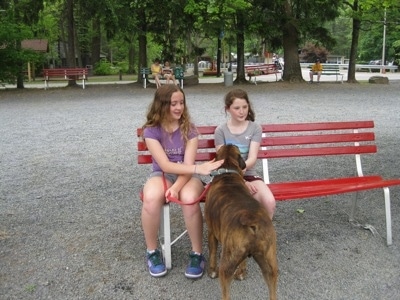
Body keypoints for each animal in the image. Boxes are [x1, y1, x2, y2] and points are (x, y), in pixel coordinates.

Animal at [205, 144, 276, 298]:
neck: (228, 172)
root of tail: (252, 221)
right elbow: (243, 261)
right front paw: (242, 272)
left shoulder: (211, 232)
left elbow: (212, 251)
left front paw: (211, 271)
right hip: (270, 264)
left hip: (226, 266)